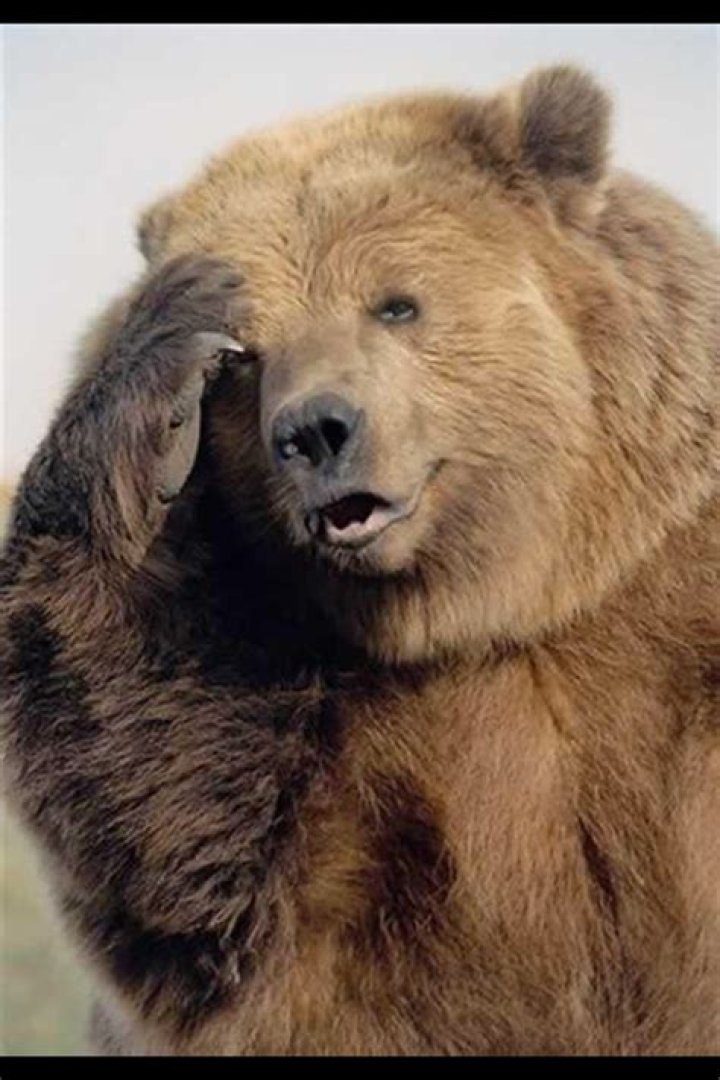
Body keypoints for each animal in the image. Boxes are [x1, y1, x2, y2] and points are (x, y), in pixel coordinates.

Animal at [0, 63, 718, 1056]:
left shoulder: (666, 612)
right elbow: (191, 862)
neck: (493, 602)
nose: (317, 430)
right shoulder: (325, 768)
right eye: (246, 356)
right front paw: (168, 337)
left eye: (395, 302)